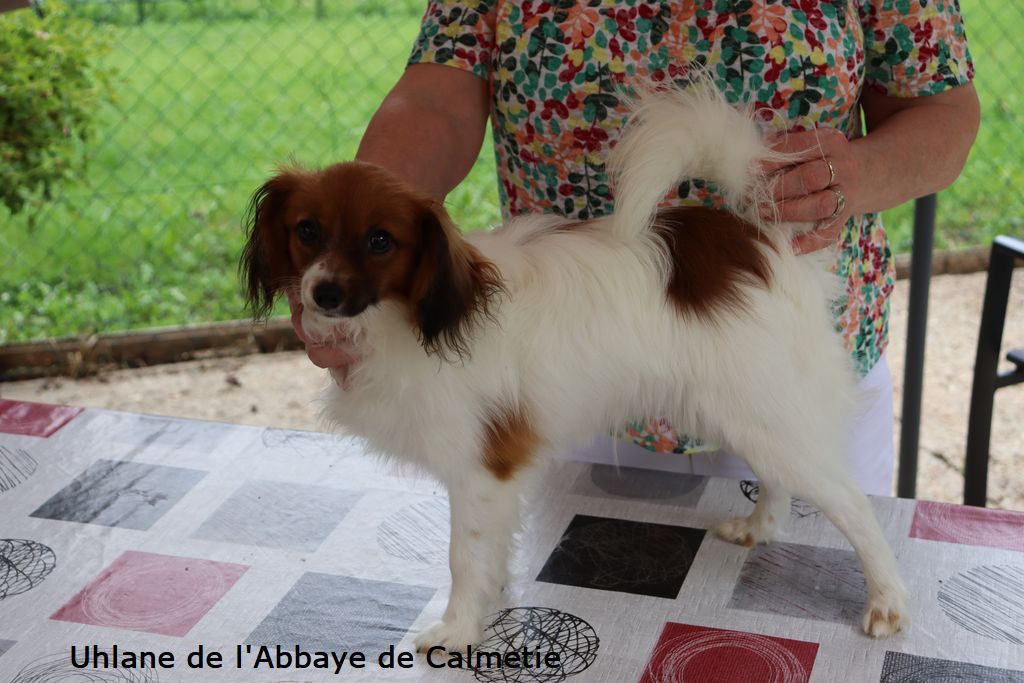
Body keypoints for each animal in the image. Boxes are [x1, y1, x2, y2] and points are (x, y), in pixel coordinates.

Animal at [241, 82, 913, 651]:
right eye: (307, 231)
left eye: (380, 242)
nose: (323, 293)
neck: (417, 314)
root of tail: (760, 240)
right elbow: (492, 552)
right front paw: (494, 601)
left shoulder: (480, 466)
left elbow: (463, 555)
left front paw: (457, 631)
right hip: (752, 413)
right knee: (779, 480)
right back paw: (760, 528)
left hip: (765, 413)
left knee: (852, 504)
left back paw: (886, 601)